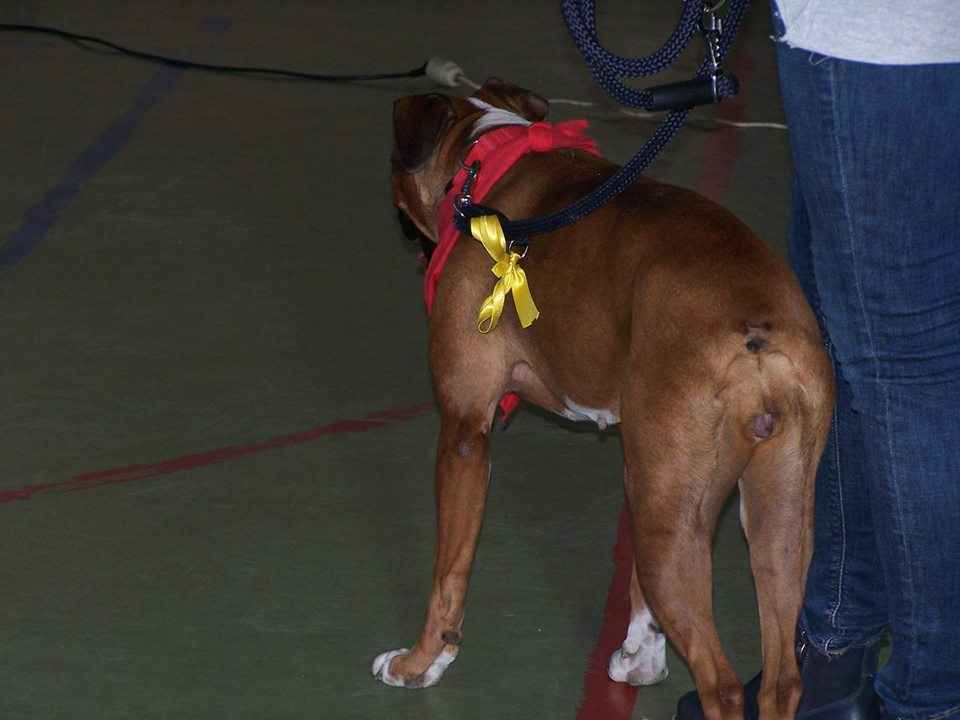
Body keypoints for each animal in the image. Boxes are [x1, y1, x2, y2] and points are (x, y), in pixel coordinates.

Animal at [374, 77, 834, 720]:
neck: (484, 166)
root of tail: (757, 338)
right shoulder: (637, 463)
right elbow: (635, 588)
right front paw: (640, 656)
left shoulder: (465, 432)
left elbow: (449, 573)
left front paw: (421, 664)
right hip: (763, 515)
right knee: (781, 679)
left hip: (679, 530)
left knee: (719, 684)